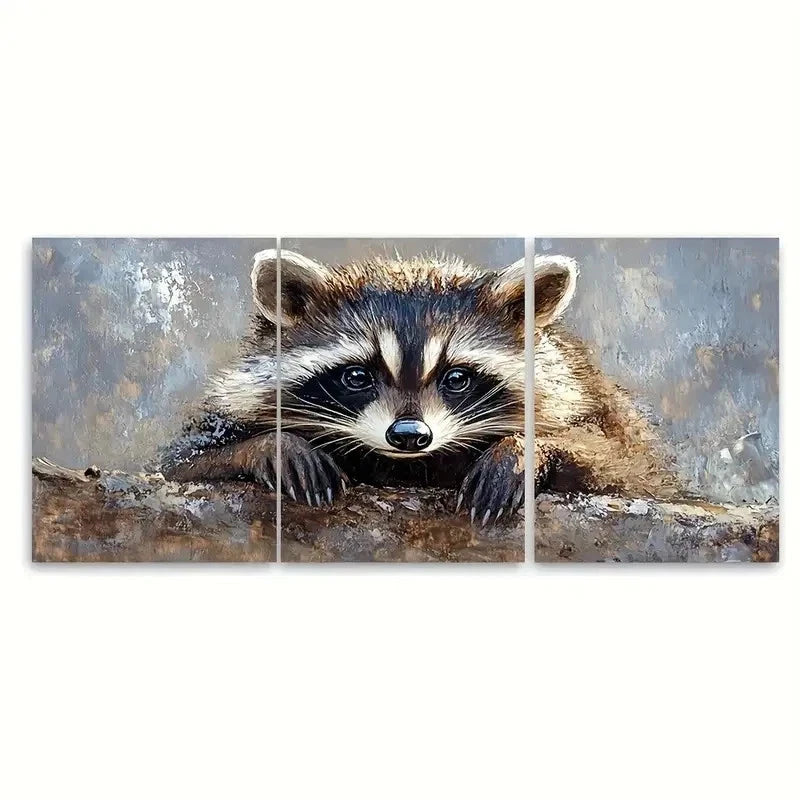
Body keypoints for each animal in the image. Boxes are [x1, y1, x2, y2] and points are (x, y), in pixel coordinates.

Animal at [162, 249, 526, 524]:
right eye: (356, 377)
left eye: (456, 379)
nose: (409, 435)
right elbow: (179, 463)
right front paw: (275, 445)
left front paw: (516, 451)